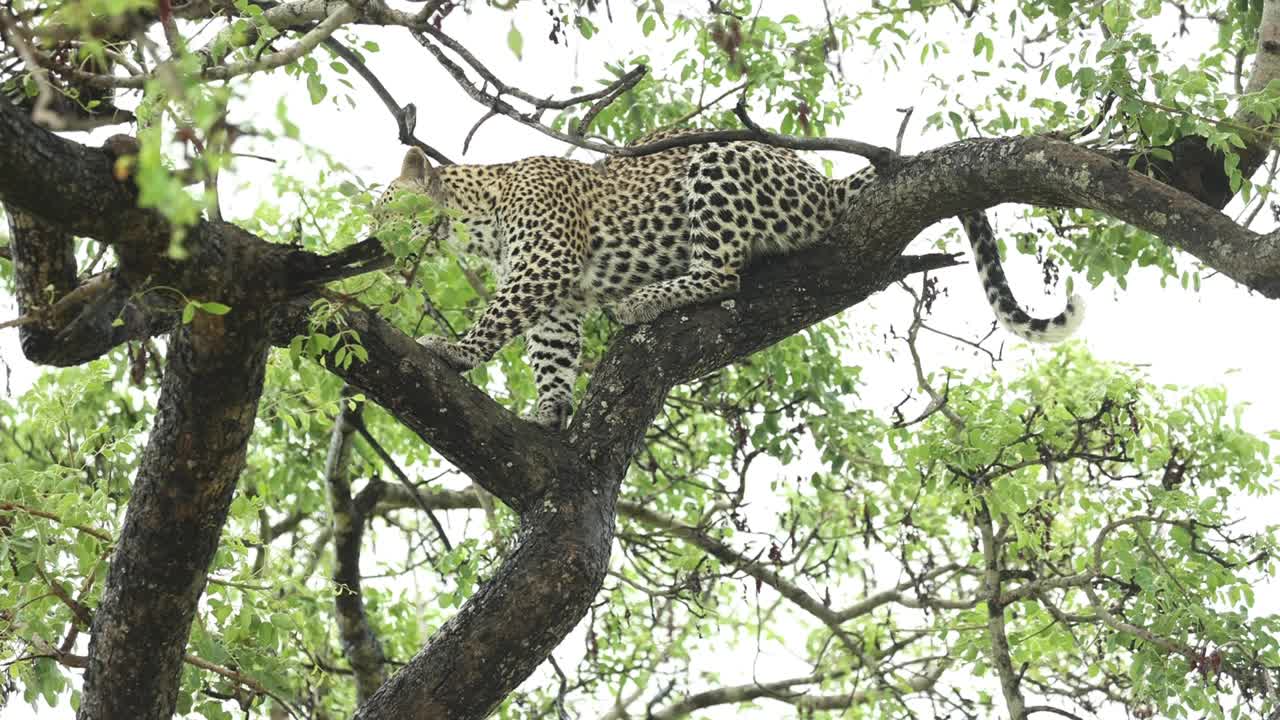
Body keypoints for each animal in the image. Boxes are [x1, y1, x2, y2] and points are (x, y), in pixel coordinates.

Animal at [376, 129, 1083, 430]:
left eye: (384, 206)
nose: (372, 239)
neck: (480, 217)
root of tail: (823, 183)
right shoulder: (556, 300)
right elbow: (550, 352)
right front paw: (551, 408)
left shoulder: (544, 265)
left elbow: (497, 319)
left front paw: (454, 351)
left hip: (718, 160)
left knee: (722, 275)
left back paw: (643, 301)